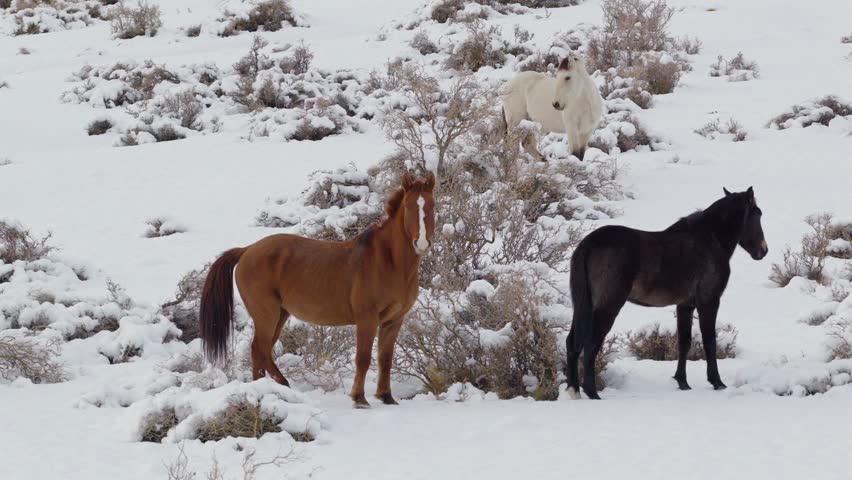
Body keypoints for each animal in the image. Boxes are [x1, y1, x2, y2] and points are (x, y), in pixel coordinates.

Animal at [199, 172, 436, 408]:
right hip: (267, 314)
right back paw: (282, 384)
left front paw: (386, 397)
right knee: (261, 349)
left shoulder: (393, 321)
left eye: (431, 204)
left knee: (260, 351)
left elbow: (385, 359)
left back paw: (263, 388)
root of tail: (246, 250)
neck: (388, 261)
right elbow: (363, 358)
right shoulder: (367, 319)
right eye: (408, 206)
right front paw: (359, 399)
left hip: (280, 315)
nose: (422, 243)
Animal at [566, 187, 768, 400]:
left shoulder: (685, 305)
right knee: (590, 345)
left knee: (572, 343)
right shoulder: (709, 302)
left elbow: (684, 342)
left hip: (583, 306)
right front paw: (717, 382)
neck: (710, 240)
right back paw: (592, 392)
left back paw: (574, 390)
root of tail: (588, 245)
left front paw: (683, 382)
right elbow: (709, 341)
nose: (763, 250)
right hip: (607, 307)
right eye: (758, 214)